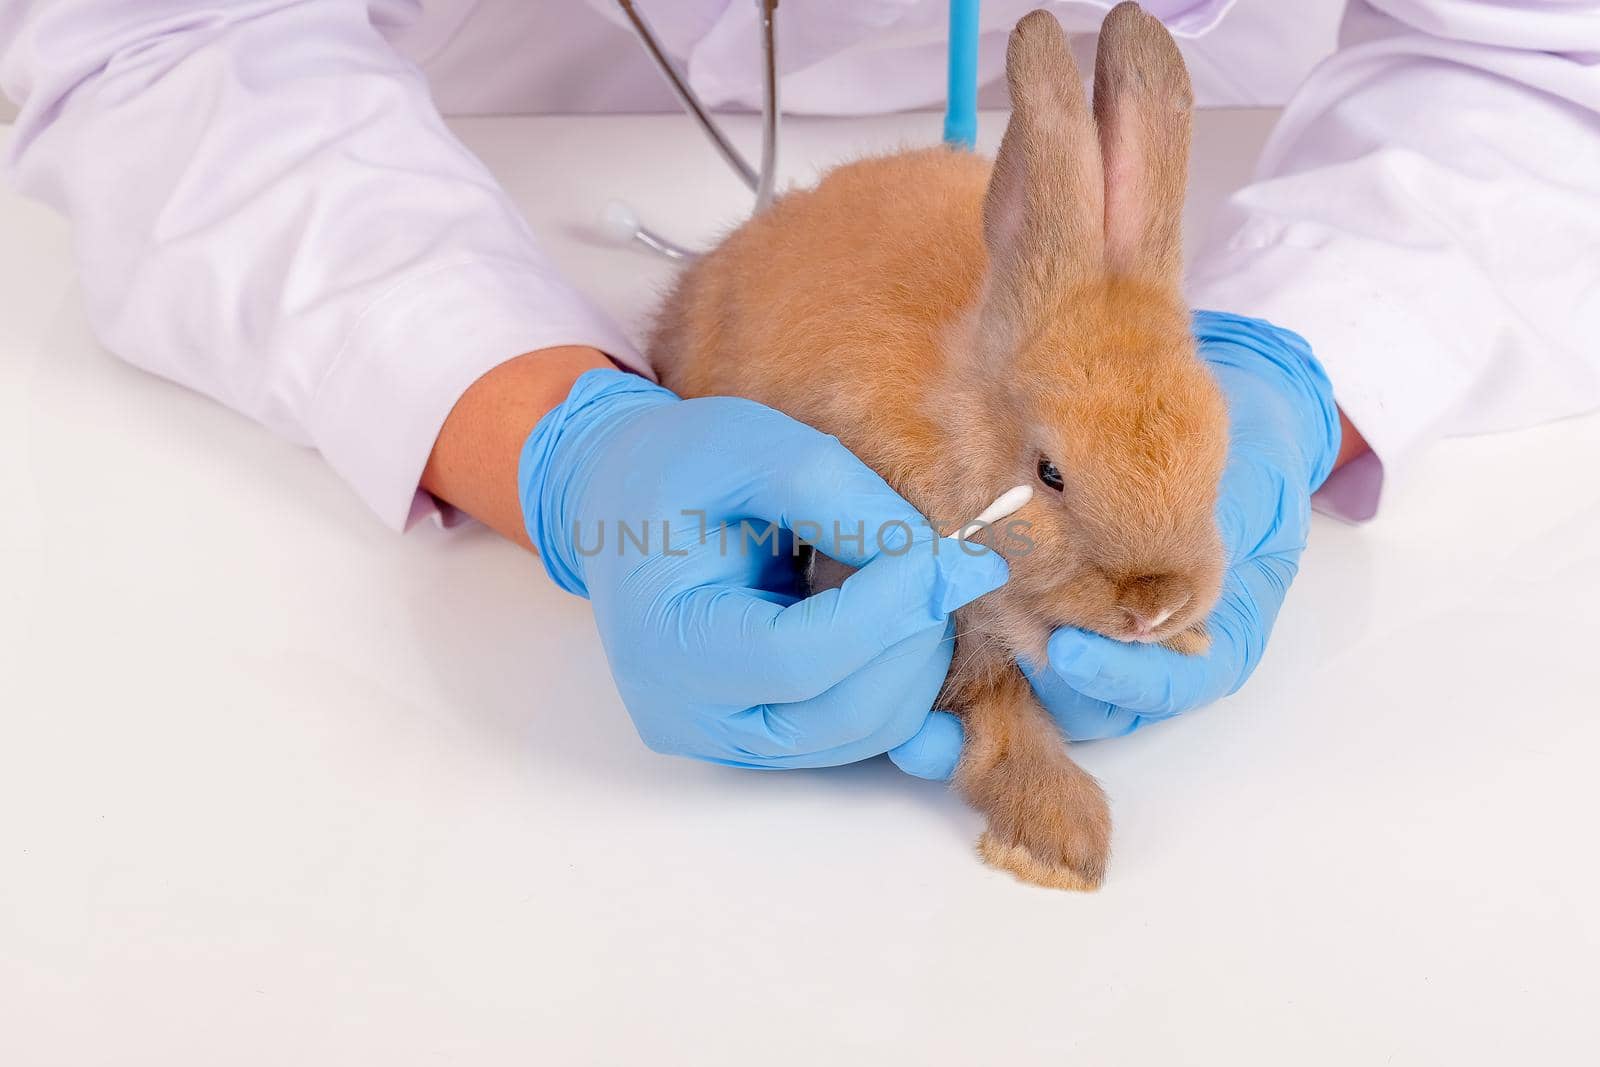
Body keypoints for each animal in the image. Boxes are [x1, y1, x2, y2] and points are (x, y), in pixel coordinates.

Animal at [649, 4, 1222, 895]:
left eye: (1215, 435)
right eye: (1049, 473)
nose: (1154, 603)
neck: (955, 419)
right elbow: (996, 702)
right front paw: (1057, 838)